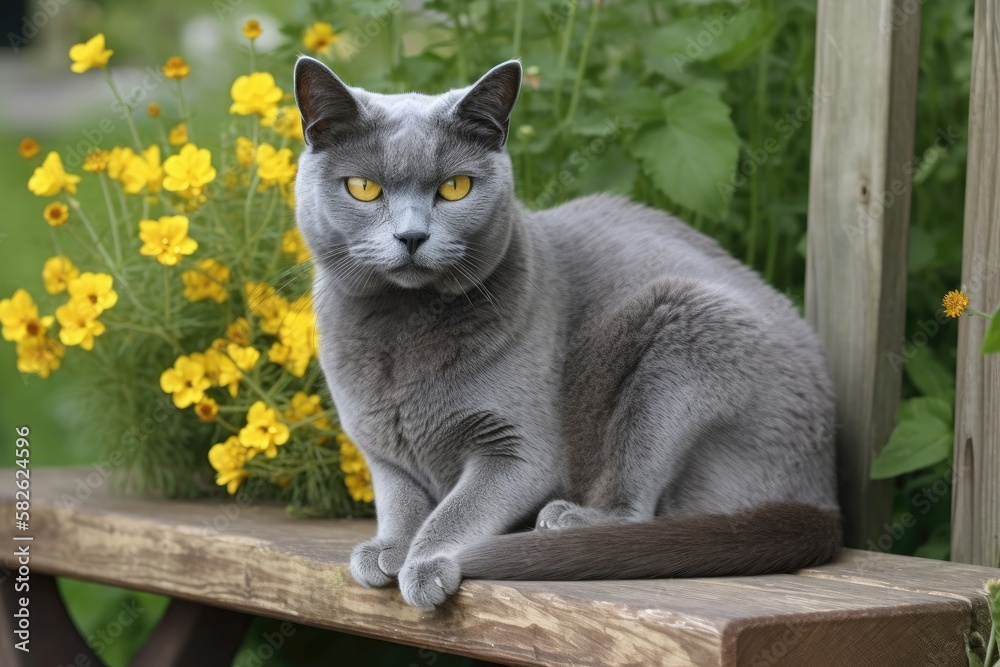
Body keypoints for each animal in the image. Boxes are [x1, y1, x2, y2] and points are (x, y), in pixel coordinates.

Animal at [292, 57, 840, 612]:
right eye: (363, 187)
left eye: (455, 187)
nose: (411, 236)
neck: (402, 327)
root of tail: (827, 491)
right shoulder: (381, 451)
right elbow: (400, 501)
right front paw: (387, 548)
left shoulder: (520, 451)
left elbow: (458, 510)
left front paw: (425, 563)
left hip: (680, 340)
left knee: (636, 508)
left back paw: (568, 520)